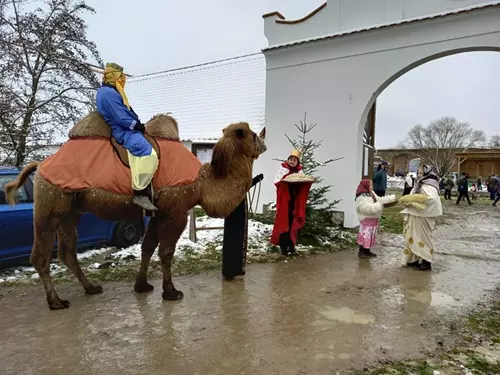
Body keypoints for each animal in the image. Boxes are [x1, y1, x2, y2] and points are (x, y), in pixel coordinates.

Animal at [4, 112, 266, 312]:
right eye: (252, 135)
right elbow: (166, 252)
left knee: (67, 252)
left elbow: (147, 247)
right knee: (41, 255)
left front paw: (142, 286)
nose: (264, 142)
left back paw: (91, 288)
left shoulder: (159, 212)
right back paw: (56, 301)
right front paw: (171, 292)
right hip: (50, 206)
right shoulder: (176, 211)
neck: (202, 182)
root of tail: (39, 165)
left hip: (71, 211)